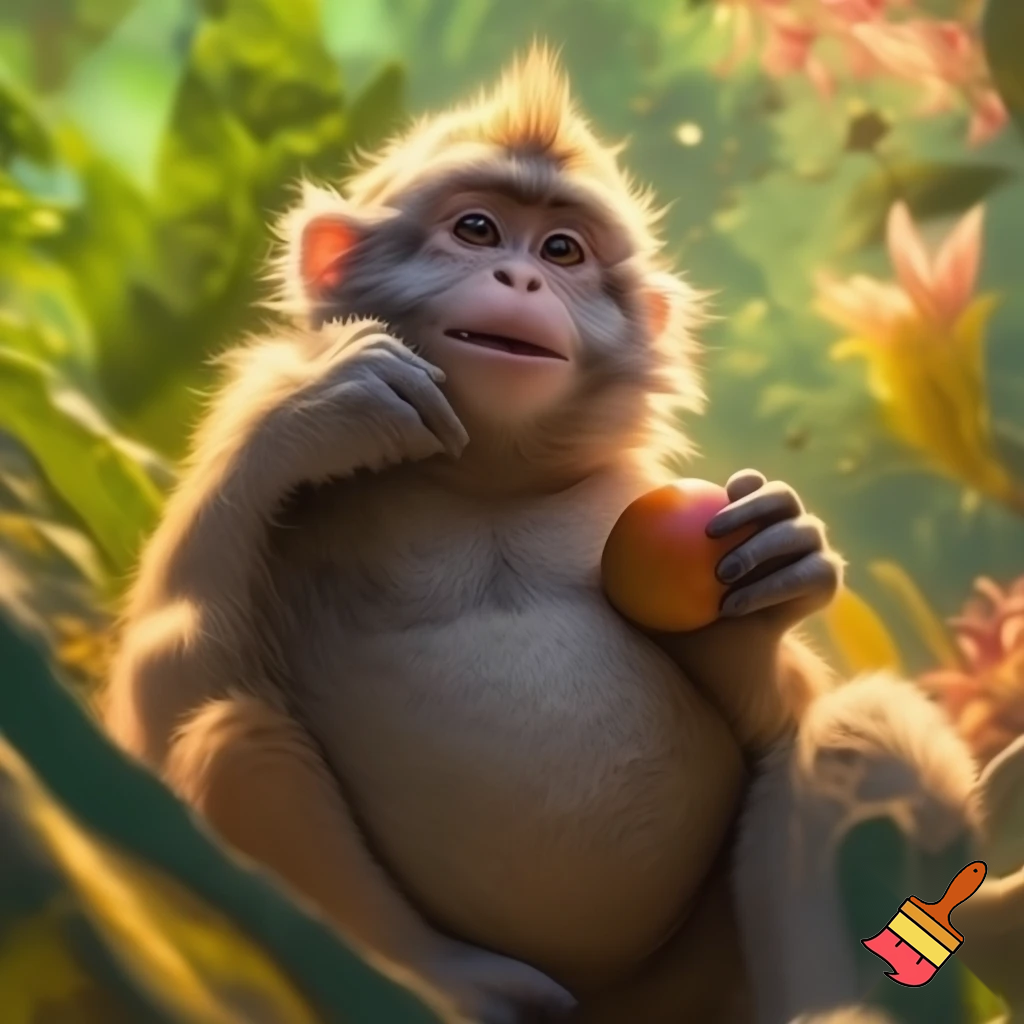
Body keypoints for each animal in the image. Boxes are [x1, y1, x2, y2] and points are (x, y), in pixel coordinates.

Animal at [103, 46, 991, 1024]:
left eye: (562, 251)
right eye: (478, 230)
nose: (521, 280)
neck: (488, 482)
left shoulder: (630, 490)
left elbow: (780, 720)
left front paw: (774, 575)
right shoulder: (244, 417)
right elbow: (167, 686)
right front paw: (318, 408)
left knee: (855, 728)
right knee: (231, 737)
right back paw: (445, 980)